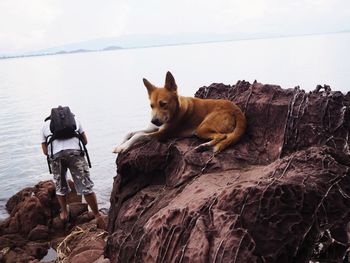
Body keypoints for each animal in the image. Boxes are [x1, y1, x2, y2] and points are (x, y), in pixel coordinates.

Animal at [114, 72, 246, 155]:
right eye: (151, 106)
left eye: (163, 104)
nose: (154, 121)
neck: (176, 109)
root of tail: (236, 109)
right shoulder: (153, 128)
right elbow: (130, 132)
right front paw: (120, 144)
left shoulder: (162, 134)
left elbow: (138, 135)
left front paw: (124, 147)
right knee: (225, 136)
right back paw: (204, 146)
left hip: (201, 127)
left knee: (222, 136)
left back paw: (205, 145)